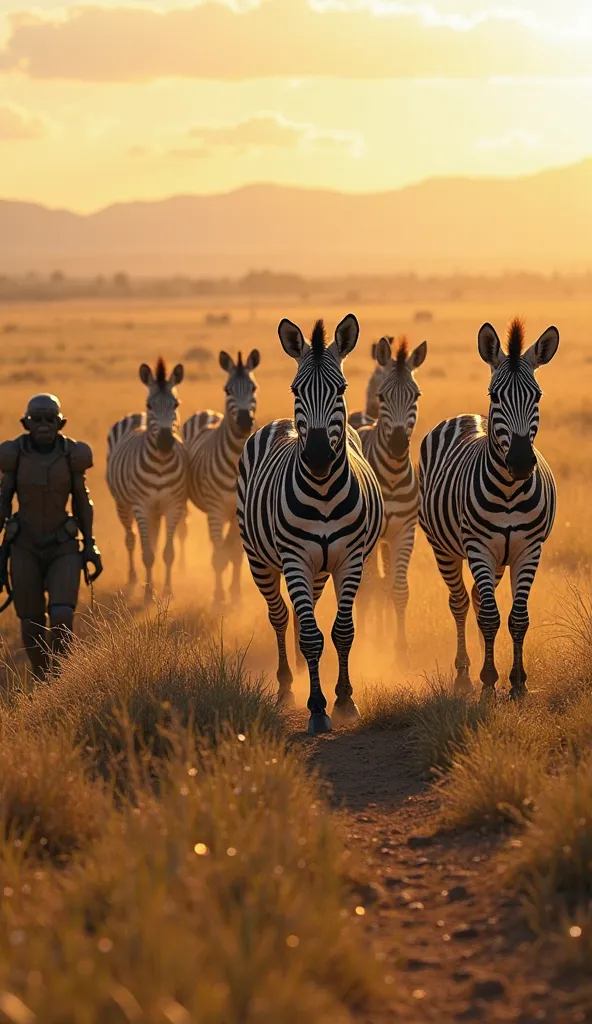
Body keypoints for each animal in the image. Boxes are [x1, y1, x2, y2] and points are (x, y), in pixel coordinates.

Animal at [106, 358, 186, 602]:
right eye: (150, 405)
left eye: (175, 405)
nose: (165, 442)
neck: (160, 464)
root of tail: (135, 416)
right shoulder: (141, 506)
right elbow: (147, 553)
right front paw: (149, 592)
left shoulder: (173, 505)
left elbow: (167, 552)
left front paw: (167, 590)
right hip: (123, 504)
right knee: (131, 540)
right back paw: (133, 578)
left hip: (156, 510)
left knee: (152, 538)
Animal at [181, 352, 259, 606]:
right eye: (227, 389)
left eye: (253, 387)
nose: (244, 421)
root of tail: (207, 412)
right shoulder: (215, 509)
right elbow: (218, 553)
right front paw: (218, 596)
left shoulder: (237, 512)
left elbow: (235, 554)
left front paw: (235, 595)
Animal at [235, 315, 383, 733]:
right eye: (296, 389)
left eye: (341, 389)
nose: (317, 457)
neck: (323, 491)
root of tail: (280, 422)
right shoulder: (296, 558)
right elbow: (312, 636)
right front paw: (317, 708)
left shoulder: (350, 559)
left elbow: (341, 631)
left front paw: (345, 700)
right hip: (261, 560)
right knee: (280, 616)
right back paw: (287, 685)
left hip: (319, 568)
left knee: (308, 614)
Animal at [417, 319, 557, 700]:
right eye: (495, 396)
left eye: (537, 396)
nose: (521, 462)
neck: (509, 491)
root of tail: (466, 416)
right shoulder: (479, 547)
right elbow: (491, 617)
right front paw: (489, 681)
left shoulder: (528, 549)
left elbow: (517, 618)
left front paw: (518, 683)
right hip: (444, 548)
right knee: (462, 603)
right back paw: (466, 674)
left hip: (496, 559)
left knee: (481, 599)